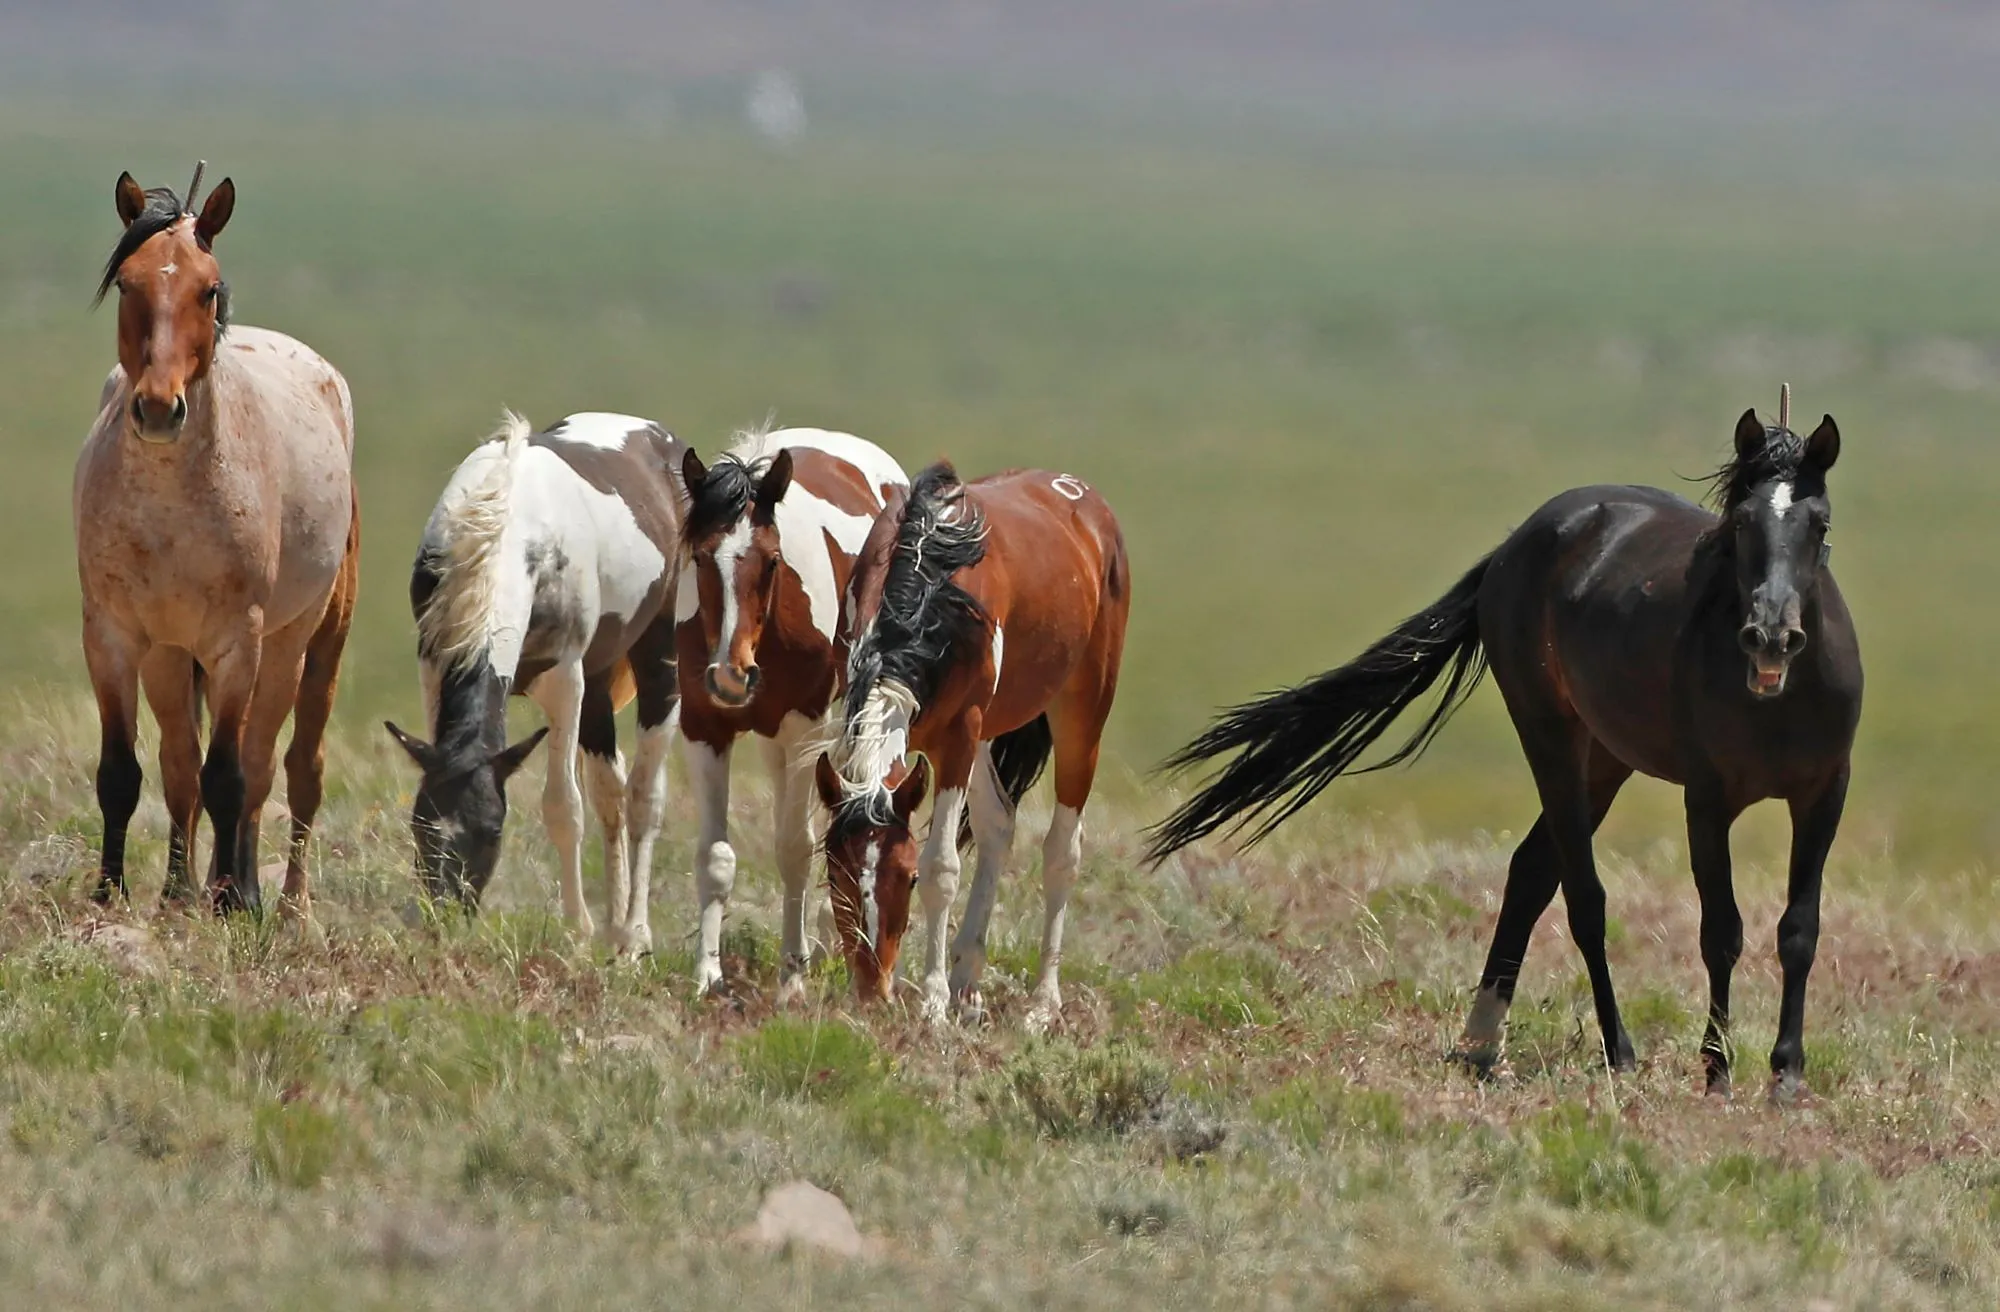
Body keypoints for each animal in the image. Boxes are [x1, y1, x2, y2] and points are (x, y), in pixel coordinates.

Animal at [76, 166, 360, 918]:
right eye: (127, 284)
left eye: (207, 288)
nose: (157, 409)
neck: (171, 505)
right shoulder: (116, 637)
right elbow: (127, 772)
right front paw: (112, 892)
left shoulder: (238, 643)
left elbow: (230, 775)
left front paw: (233, 902)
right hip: (173, 658)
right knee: (184, 767)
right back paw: (189, 888)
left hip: (303, 647)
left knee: (285, 768)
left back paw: (279, 903)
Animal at [384, 411, 684, 953]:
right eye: (421, 825)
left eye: (491, 830)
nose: (442, 919)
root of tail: (657, 436)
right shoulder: (434, 666)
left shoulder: (566, 678)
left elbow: (564, 806)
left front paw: (576, 930)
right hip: (601, 682)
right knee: (611, 791)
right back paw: (615, 926)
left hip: (657, 658)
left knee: (643, 796)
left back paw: (633, 935)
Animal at [675, 427, 908, 1000]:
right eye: (702, 559)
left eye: (773, 561)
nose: (731, 674)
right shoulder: (703, 728)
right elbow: (715, 857)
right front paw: (707, 975)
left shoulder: (806, 729)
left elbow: (795, 849)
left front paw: (792, 977)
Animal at [816, 461, 1130, 1027]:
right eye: (837, 876)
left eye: (906, 878)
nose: (873, 991)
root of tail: (1086, 502)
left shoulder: (958, 739)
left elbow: (943, 866)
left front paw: (933, 1000)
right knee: (997, 826)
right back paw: (968, 981)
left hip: (1082, 715)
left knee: (1062, 853)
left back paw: (1042, 1003)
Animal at [1147, 396, 1861, 1101]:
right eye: (1741, 522)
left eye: (1820, 523)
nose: (1770, 637)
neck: (1773, 702)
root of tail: (1522, 539)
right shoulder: (1707, 799)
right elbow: (1721, 931)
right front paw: (1716, 1073)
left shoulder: (1823, 793)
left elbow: (1799, 930)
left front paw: (1787, 1075)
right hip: (1551, 736)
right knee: (1581, 895)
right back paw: (1615, 1052)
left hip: (1606, 759)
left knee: (1531, 870)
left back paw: (1481, 1044)